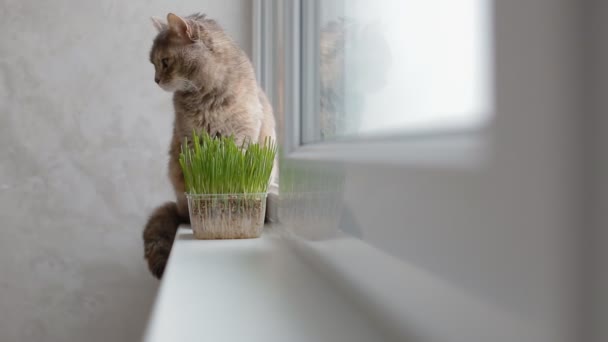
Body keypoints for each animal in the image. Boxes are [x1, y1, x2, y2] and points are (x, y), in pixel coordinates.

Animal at [142, 13, 276, 280]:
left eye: (164, 62)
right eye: (153, 63)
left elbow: (235, 168)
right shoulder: (190, 141)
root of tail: (178, 209)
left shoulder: (241, 136)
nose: (156, 80)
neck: (206, 97)